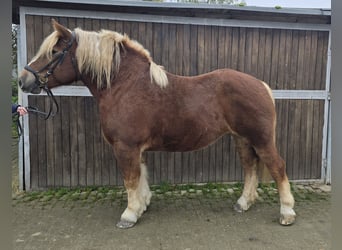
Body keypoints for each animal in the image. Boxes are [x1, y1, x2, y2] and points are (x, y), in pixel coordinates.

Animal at [19, 20, 296, 229]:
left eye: (54, 52)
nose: (23, 80)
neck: (125, 85)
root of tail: (261, 85)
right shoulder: (136, 148)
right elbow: (141, 177)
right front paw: (141, 206)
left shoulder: (125, 147)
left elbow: (130, 180)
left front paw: (129, 215)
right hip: (242, 138)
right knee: (250, 167)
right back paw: (243, 203)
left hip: (261, 139)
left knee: (278, 167)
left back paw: (287, 212)